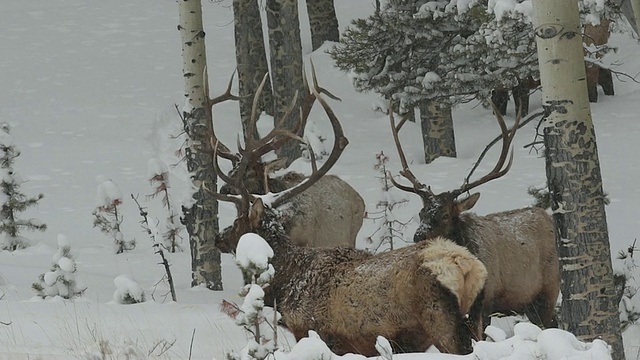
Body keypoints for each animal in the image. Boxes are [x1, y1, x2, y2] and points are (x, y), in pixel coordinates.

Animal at [384, 108, 560, 330]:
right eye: (421, 213)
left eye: (445, 215)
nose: (418, 236)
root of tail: (549, 219)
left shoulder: (484, 303)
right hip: (529, 304)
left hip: (549, 289)